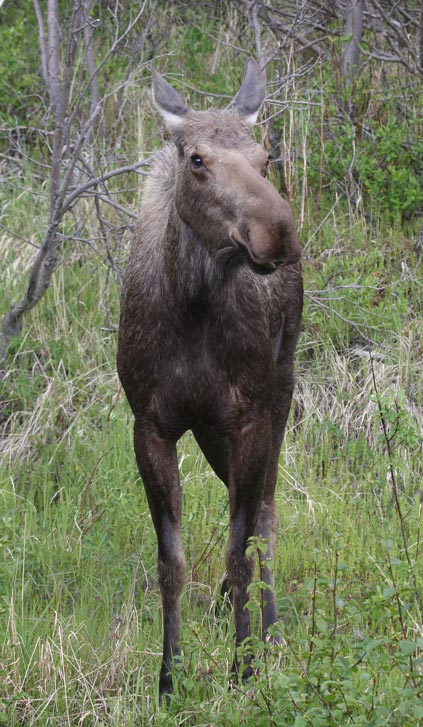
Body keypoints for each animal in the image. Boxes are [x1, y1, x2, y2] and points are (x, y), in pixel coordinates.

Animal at [117, 59, 303, 700]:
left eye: (266, 155)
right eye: (197, 159)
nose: (279, 230)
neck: (192, 307)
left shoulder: (249, 417)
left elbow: (239, 548)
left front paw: (242, 665)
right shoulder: (150, 425)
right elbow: (170, 562)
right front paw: (169, 675)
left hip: (279, 394)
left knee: (266, 512)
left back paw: (269, 632)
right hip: (208, 428)